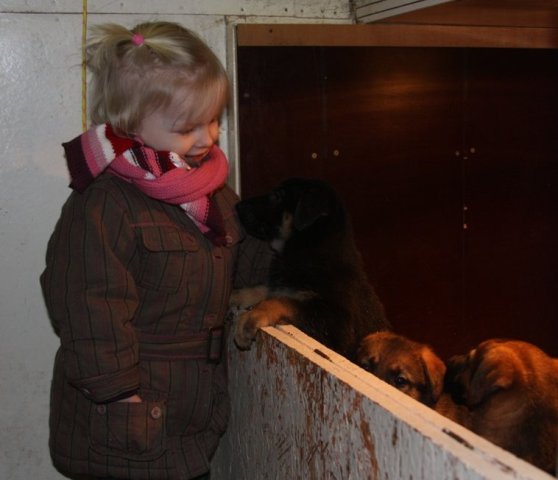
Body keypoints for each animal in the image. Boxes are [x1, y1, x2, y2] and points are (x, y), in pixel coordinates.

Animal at [231, 177, 391, 361]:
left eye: (277, 196)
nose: (237, 206)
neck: (311, 250)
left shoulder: (333, 325)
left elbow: (281, 301)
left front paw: (251, 318)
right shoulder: (285, 285)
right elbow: (265, 289)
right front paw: (236, 295)